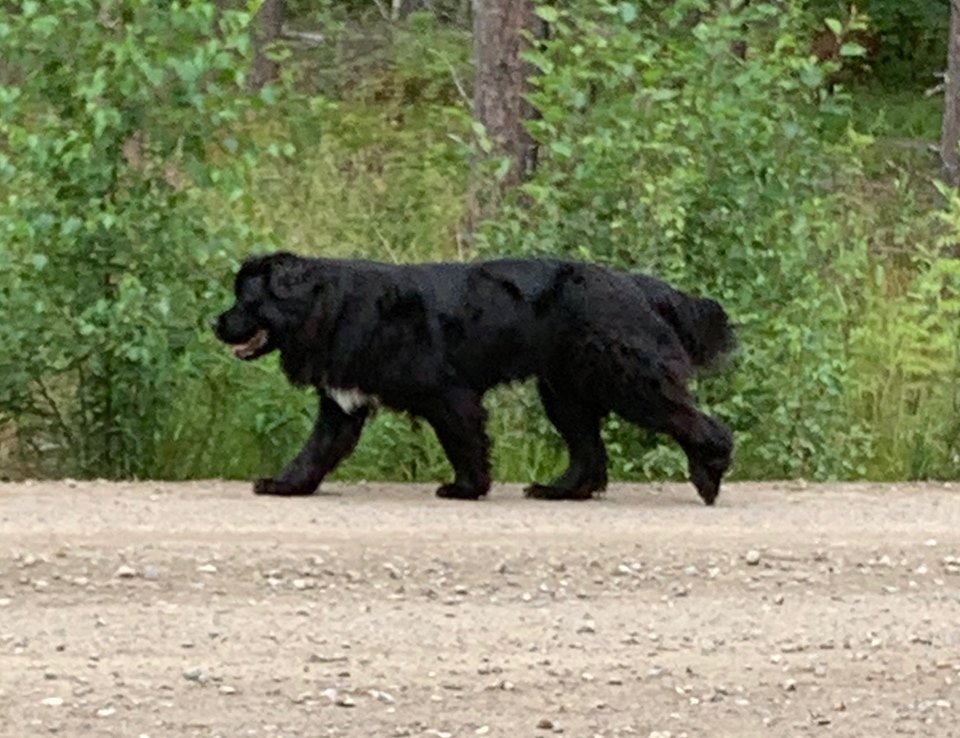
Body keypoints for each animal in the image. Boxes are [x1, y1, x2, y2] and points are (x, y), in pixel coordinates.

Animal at [214, 252, 735, 503]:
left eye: (246, 299)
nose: (216, 323)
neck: (329, 307)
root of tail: (635, 283)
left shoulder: (449, 393)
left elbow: (463, 443)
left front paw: (466, 488)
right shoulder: (342, 404)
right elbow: (314, 452)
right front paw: (285, 485)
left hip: (625, 377)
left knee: (696, 422)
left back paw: (708, 475)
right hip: (564, 390)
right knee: (589, 450)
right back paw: (560, 491)